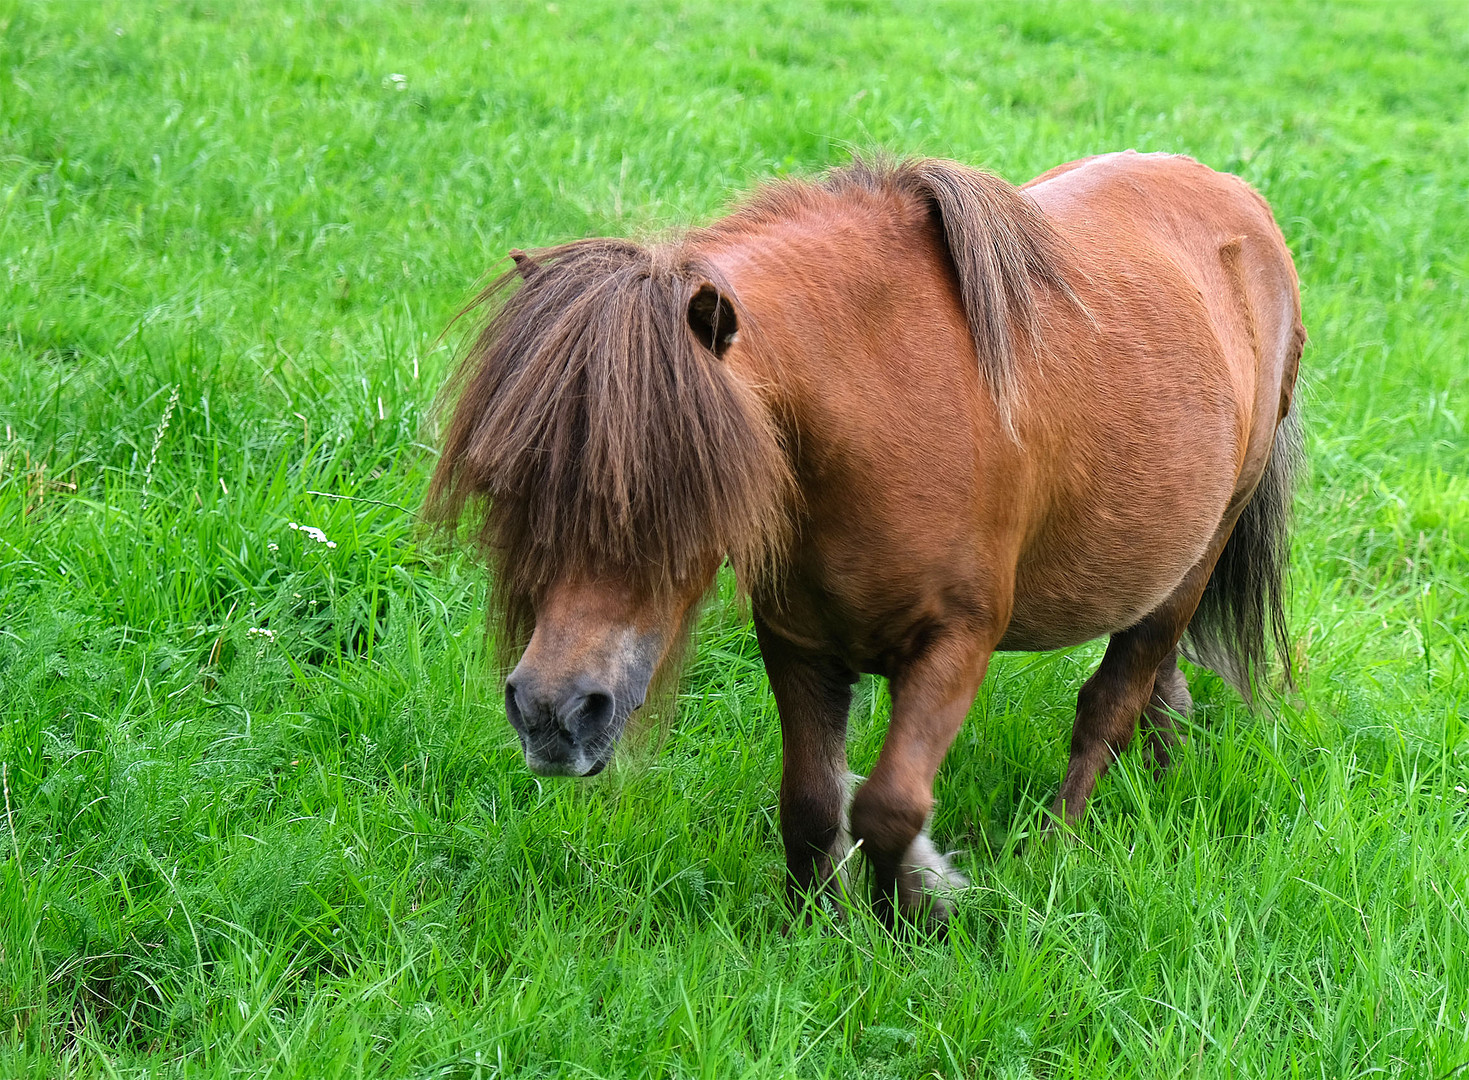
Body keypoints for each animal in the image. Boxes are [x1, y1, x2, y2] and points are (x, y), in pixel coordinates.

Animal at [428, 149, 1310, 928]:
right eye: (508, 483)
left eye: (672, 496)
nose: (551, 715)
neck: (875, 404)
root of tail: (1241, 203)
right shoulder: (798, 644)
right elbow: (811, 804)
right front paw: (810, 928)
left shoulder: (955, 644)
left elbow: (887, 808)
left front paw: (916, 916)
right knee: (1155, 676)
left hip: (1203, 548)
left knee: (1110, 703)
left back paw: (1055, 847)